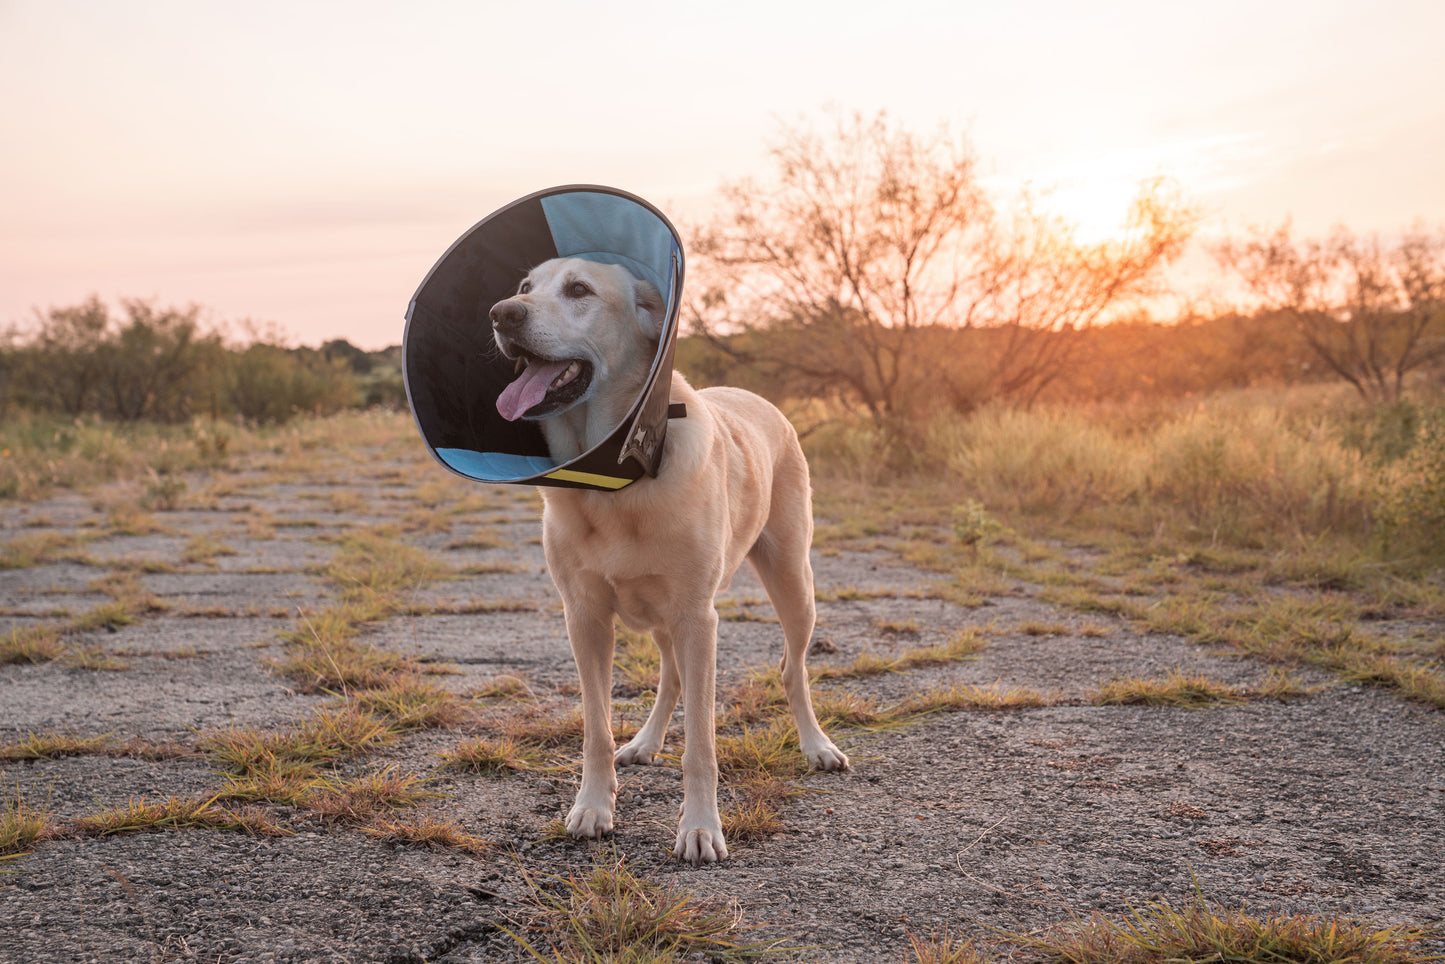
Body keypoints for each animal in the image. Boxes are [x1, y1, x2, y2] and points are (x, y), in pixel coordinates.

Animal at [488, 258, 843, 867]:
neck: (613, 482)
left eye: (579, 290)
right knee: (672, 678)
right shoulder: (584, 618)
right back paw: (645, 743)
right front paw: (593, 807)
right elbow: (596, 728)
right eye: (525, 288)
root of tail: (755, 395)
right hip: (658, 617)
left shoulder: (698, 620)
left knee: (791, 669)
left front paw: (700, 829)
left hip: (794, 586)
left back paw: (816, 745)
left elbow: (701, 744)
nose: (501, 313)